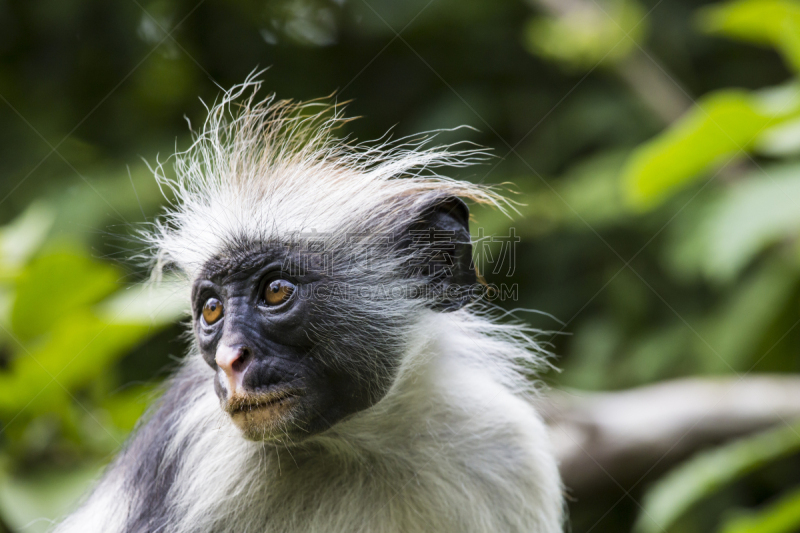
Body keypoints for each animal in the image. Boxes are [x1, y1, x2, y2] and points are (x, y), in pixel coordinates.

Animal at [54, 81, 564, 532]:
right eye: (213, 309)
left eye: (276, 291)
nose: (229, 360)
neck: (358, 442)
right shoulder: (196, 452)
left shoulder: (508, 449)